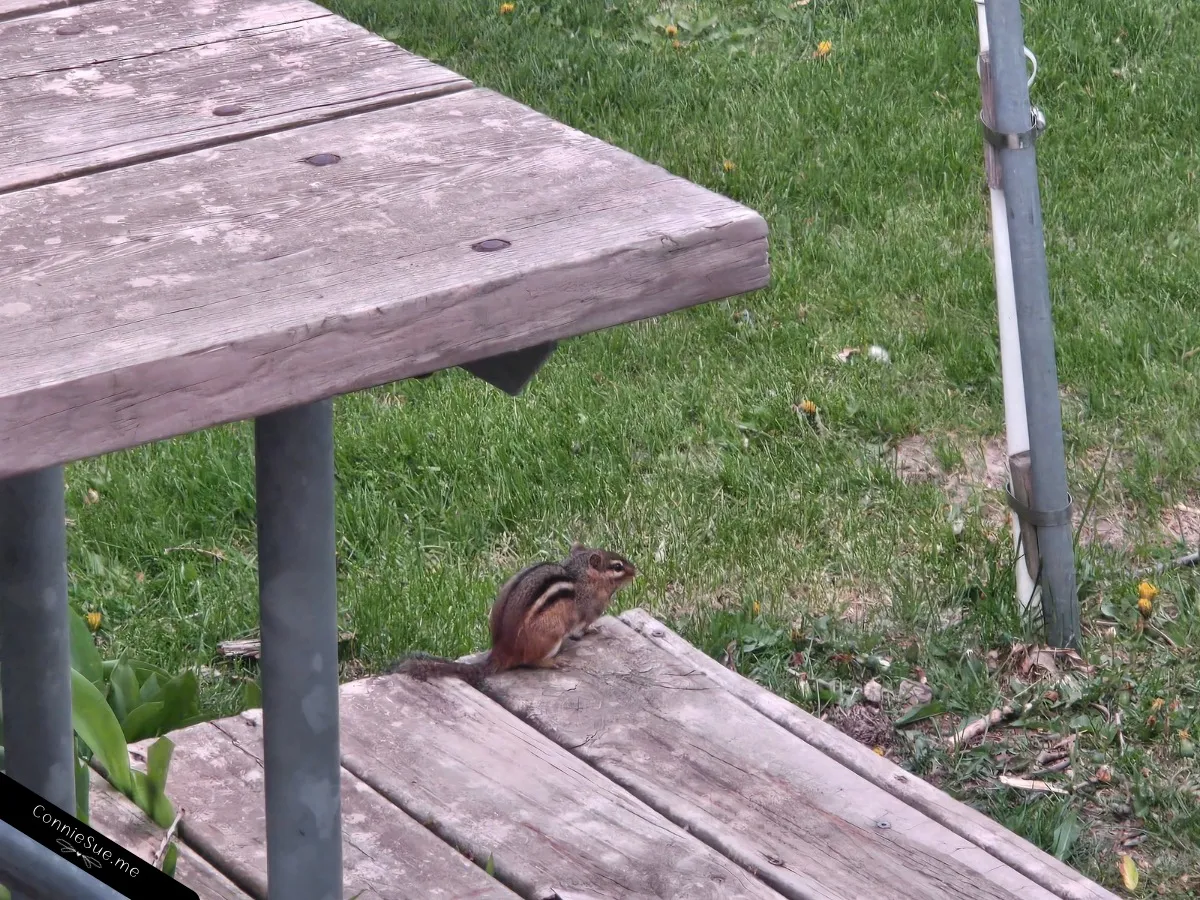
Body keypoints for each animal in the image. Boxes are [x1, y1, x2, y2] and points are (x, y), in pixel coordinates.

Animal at [392, 544, 637, 687]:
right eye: (617, 566)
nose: (636, 571)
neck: (580, 575)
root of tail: (503, 651)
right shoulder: (589, 608)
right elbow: (582, 628)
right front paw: (594, 630)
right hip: (551, 636)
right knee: (532, 661)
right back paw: (554, 661)